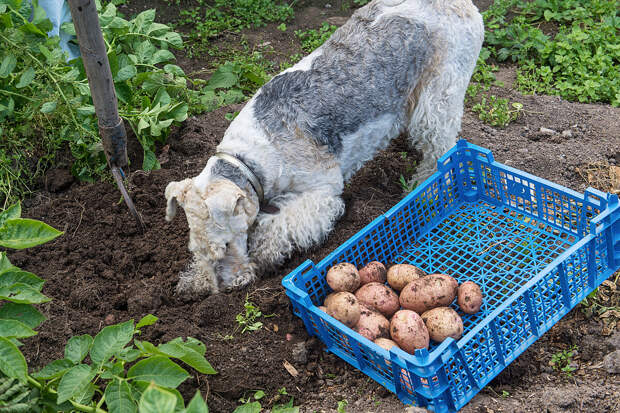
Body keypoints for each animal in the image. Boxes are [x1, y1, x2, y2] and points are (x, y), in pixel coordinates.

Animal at [162, 0, 482, 296]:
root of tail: (461, 5)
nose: (227, 288)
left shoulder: (322, 191)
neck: (249, 159)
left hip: (439, 98)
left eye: (226, 245)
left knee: (441, 150)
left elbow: (278, 226)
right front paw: (194, 280)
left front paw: (264, 255)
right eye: (195, 248)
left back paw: (427, 186)